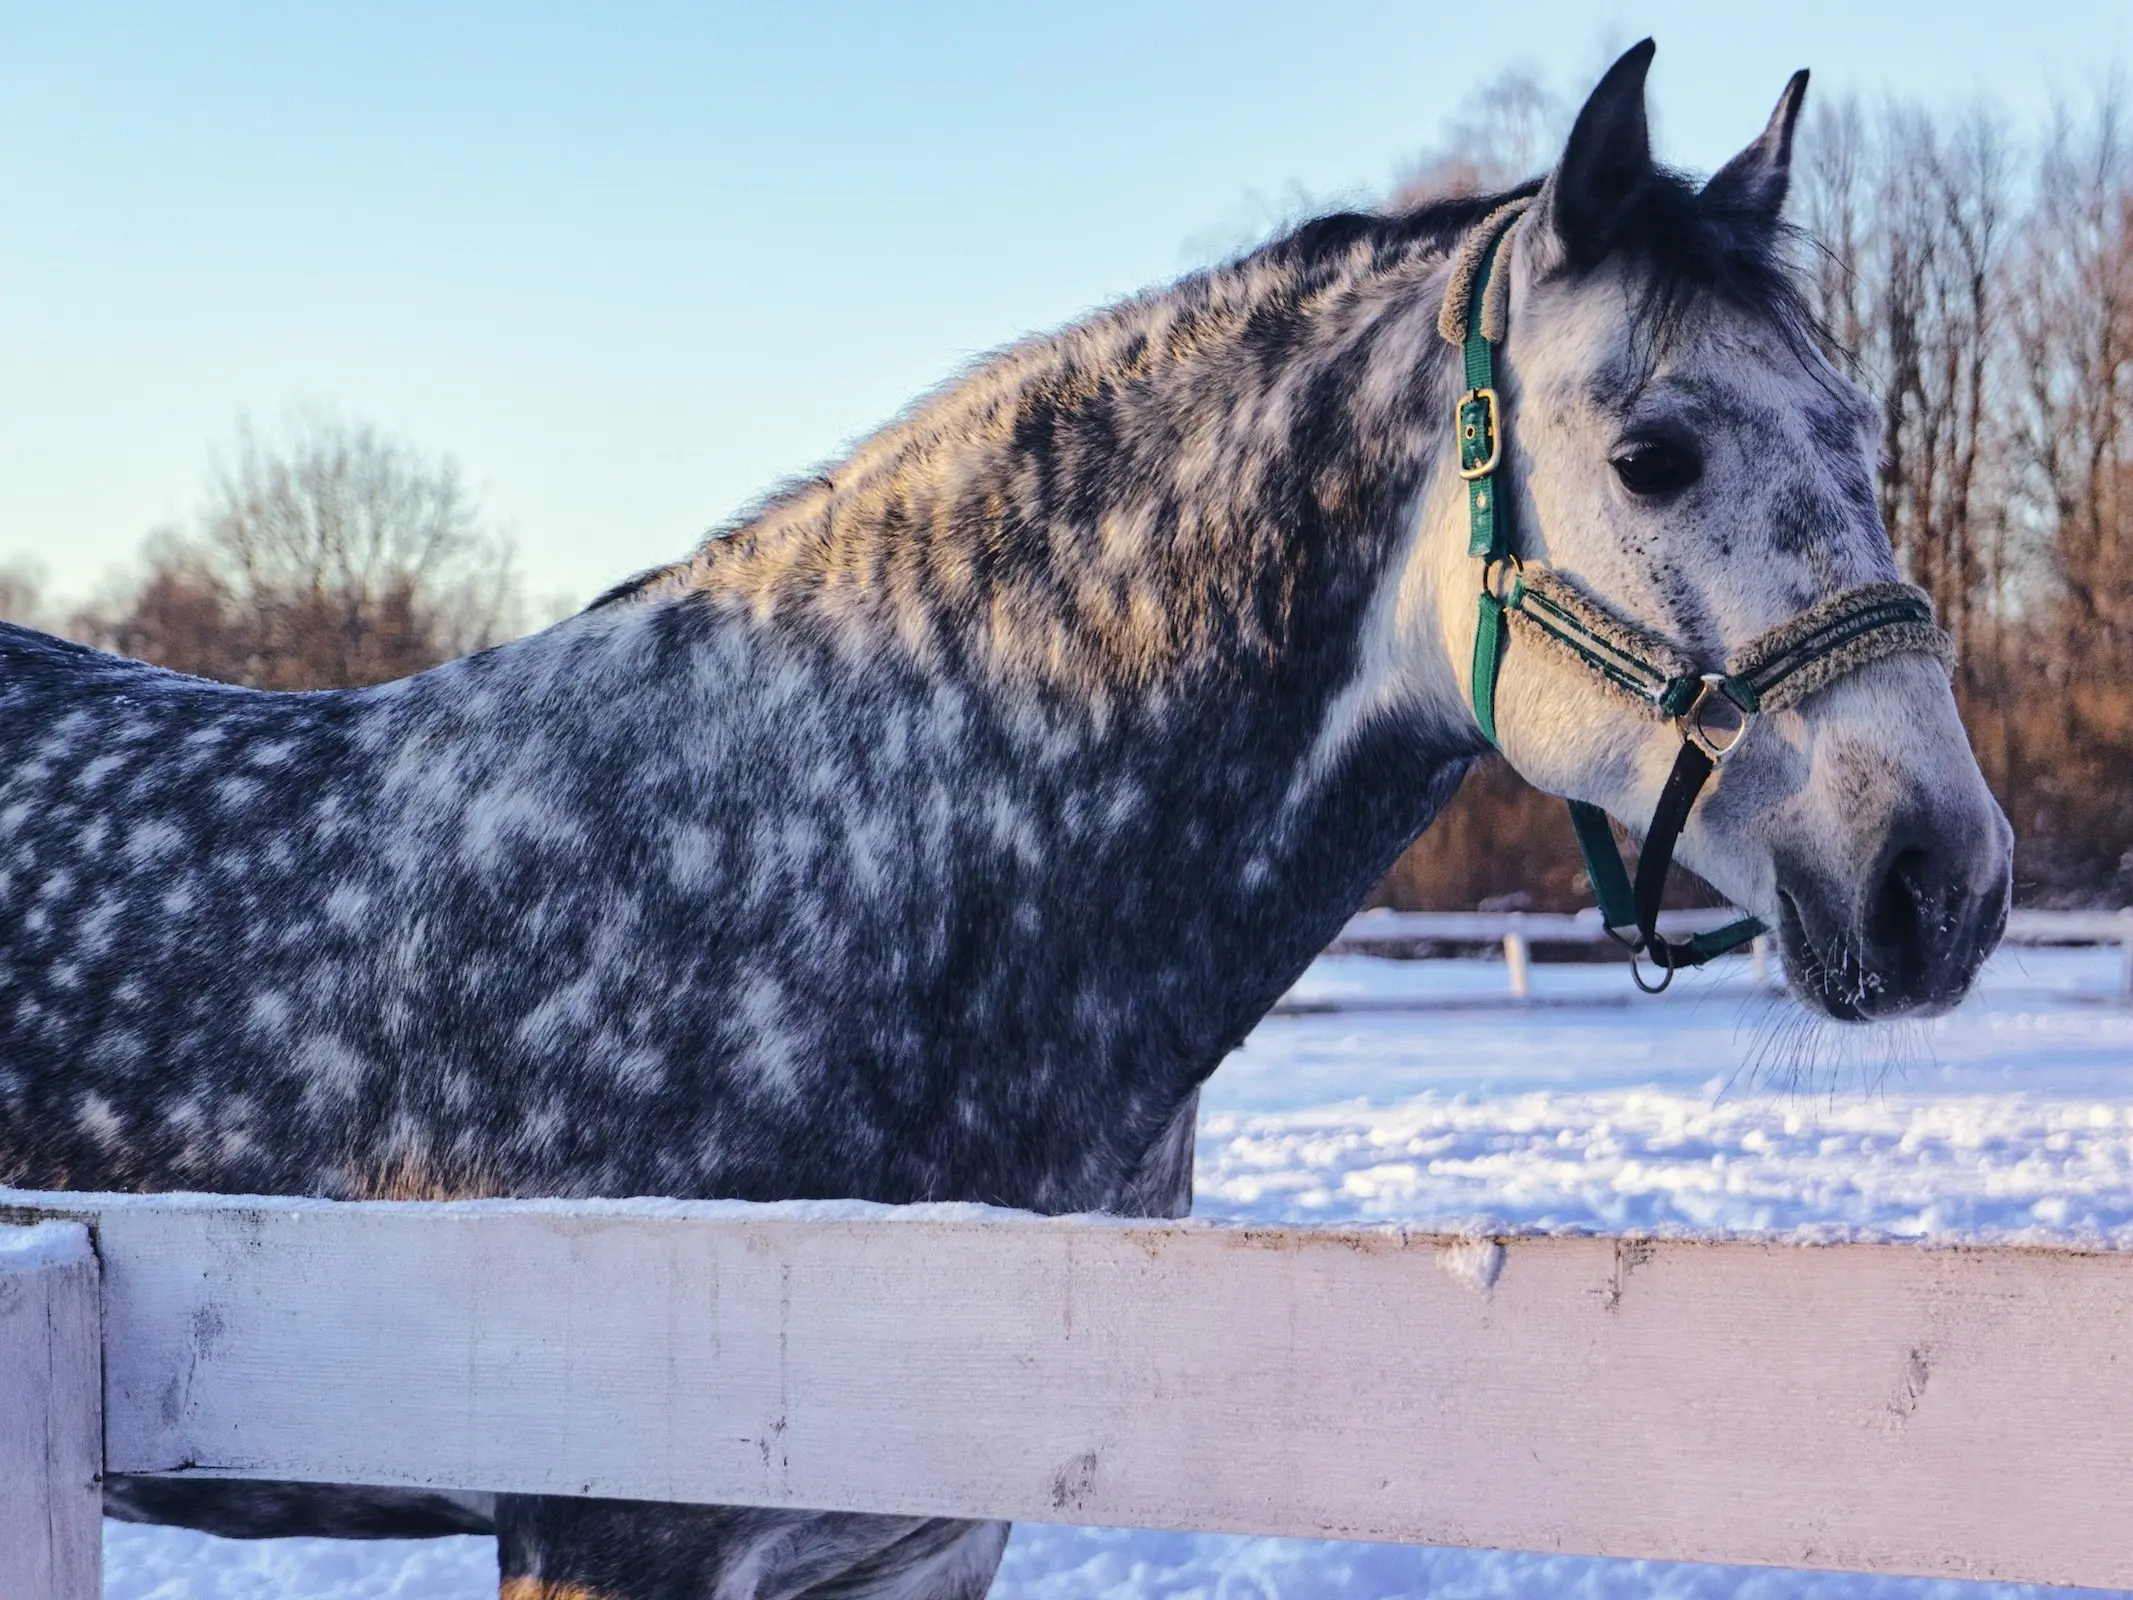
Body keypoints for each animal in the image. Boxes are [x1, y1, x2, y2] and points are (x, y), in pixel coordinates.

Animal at [0, 43, 2005, 1600]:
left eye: (1858, 434)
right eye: (1655, 453)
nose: (1944, 881)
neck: (854, 863)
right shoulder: (609, 1528)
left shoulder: (921, 1525)